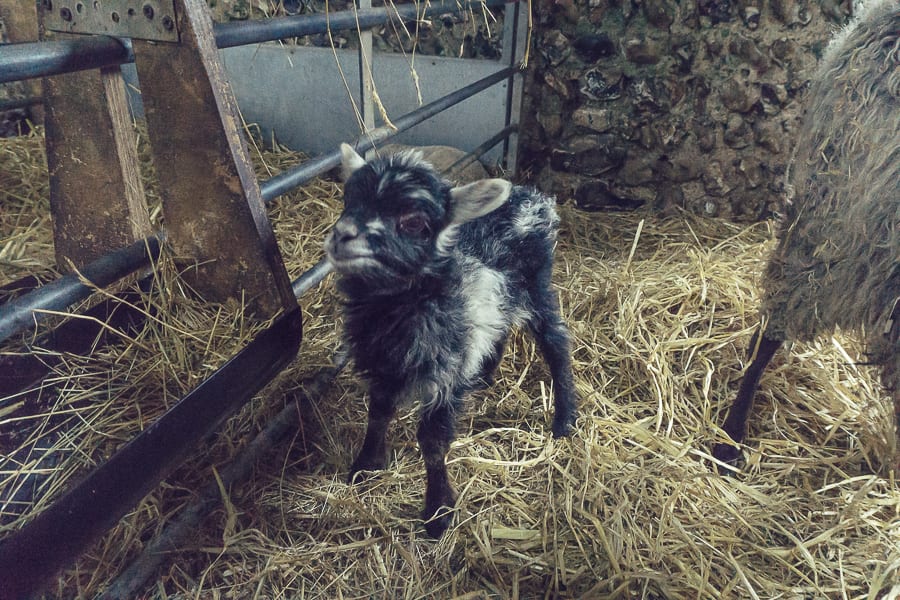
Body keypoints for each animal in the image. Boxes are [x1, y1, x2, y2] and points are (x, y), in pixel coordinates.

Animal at [324, 143, 576, 536]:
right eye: (348, 200)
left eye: (414, 222)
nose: (342, 235)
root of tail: (533, 198)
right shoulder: (384, 365)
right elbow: (378, 414)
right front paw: (365, 465)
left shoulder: (445, 373)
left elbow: (432, 442)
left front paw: (438, 511)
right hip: (497, 301)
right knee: (499, 329)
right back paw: (484, 376)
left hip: (536, 286)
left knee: (556, 342)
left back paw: (564, 419)